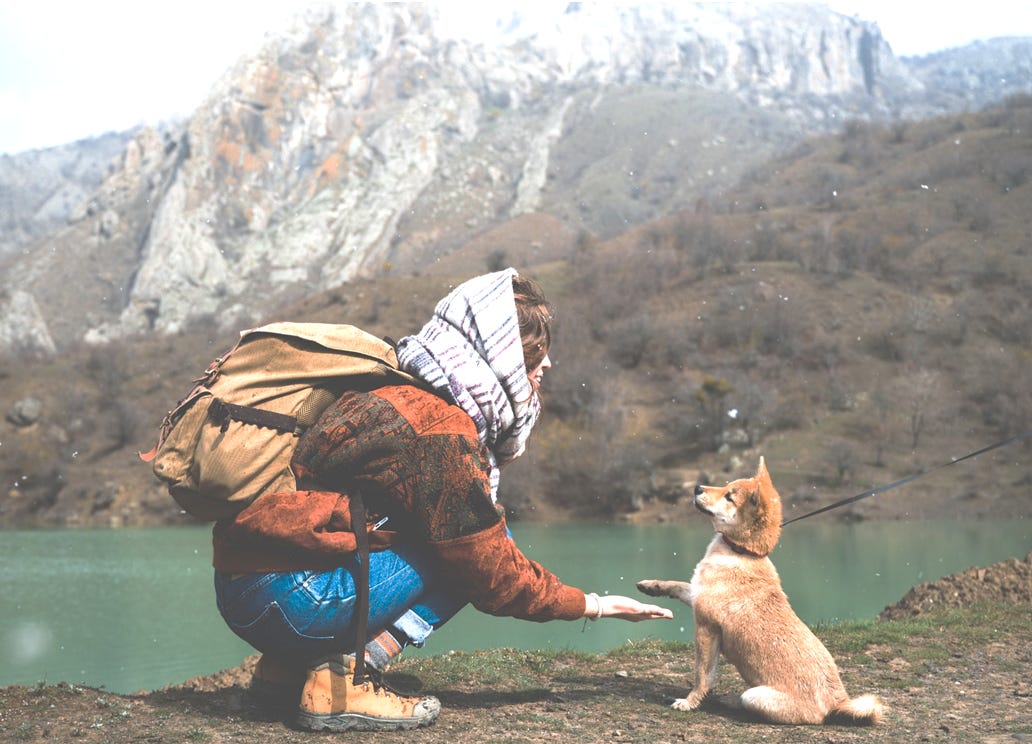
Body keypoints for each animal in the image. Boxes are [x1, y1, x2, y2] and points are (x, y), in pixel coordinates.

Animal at [635, 456, 887, 722]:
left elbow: (702, 676)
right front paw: (650, 586)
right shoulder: (696, 593)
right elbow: (675, 585)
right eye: (725, 487)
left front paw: (689, 702)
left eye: (729, 497)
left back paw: (730, 700)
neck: (742, 552)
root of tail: (836, 705)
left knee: (745, 701)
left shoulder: (706, 627)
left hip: (755, 696)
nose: (697, 488)